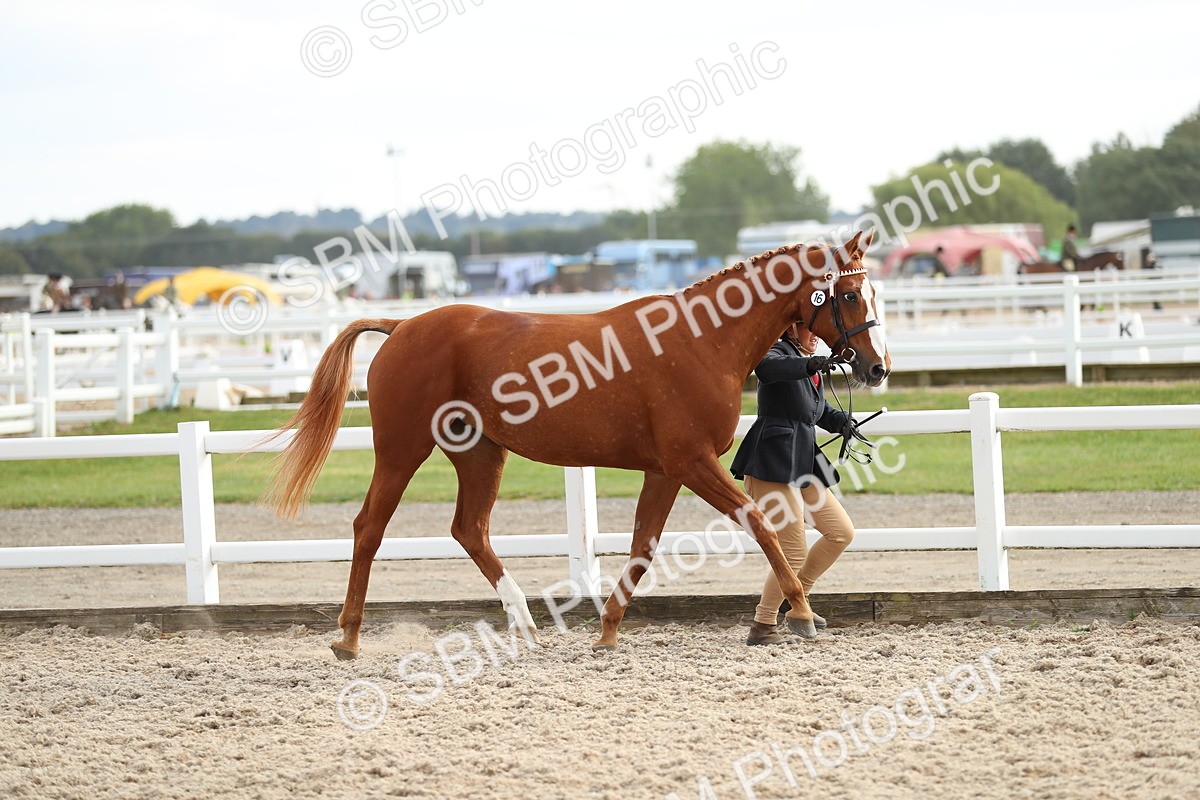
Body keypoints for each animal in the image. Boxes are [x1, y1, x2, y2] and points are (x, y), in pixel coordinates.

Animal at [265, 231, 891, 660]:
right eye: (849, 295)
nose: (877, 368)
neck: (701, 342)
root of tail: (402, 327)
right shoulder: (691, 462)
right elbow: (759, 525)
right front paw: (803, 613)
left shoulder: (666, 470)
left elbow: (642, 548)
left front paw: (608, 632)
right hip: (402, 449)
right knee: (370, 527)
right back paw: (348, 639)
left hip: (480, 452)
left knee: (470, 529)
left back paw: (524, 623)